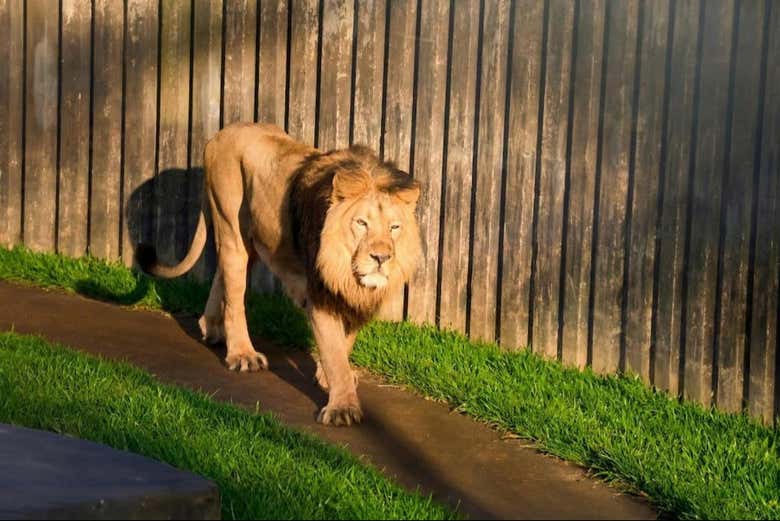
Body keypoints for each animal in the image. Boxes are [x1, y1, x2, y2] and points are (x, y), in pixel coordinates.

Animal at [136, 123, 422, 426]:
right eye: (361, 223)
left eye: (394, 227)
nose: (381, 258)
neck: (345, 271)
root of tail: (219, 135)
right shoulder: (318, 293)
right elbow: (334, 351)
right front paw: (342, 408)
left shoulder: (353, 298)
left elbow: (344, 344)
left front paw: (326, 377)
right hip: (230, 224)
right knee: (234, 296)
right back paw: (242, 355)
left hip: (251, 240)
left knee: (221, 278)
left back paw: (212, 329)